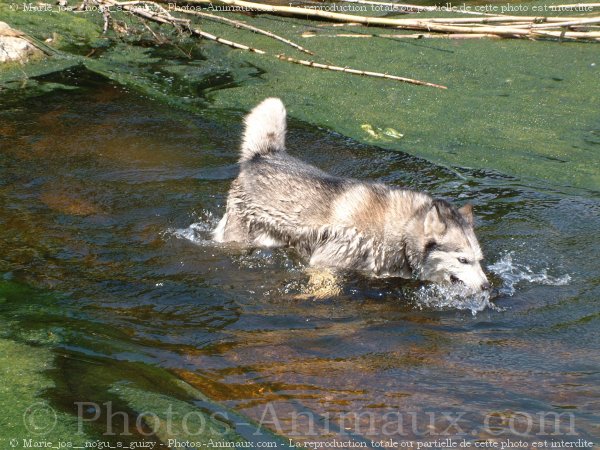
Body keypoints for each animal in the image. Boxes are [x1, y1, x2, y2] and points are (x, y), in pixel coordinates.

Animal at [213, 98, 490, 294]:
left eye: (479, 260)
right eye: (463, 260)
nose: (488, 286)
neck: (398, 232)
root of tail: (263, 155)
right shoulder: (323, 263)